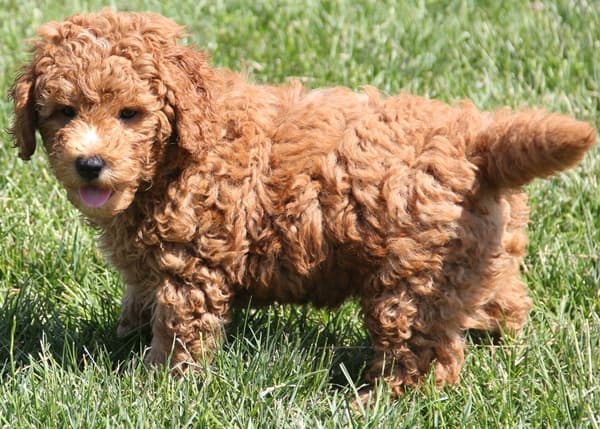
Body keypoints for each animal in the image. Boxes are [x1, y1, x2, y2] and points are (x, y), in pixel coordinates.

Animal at [10, 10, 596, 392]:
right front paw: (123, 342)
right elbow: (139, 298)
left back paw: (377, 402)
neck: (186, 144)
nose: (90, 164)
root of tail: (477, 140)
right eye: (64, 112)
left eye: (130, 114)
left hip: (411, 279)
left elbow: (178, 327)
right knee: (499, 298)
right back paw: (503, 338)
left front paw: (158, 385)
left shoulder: (191, 262)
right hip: (474, 251)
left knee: (422, 357)